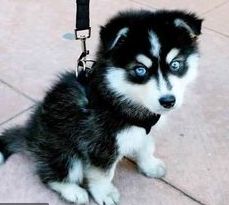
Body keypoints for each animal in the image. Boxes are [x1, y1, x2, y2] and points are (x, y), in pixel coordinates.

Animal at [0, 10, 203, 205]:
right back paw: (73, 191)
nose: (168, 101)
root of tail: (29, 136)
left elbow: (145, 146)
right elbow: (102, 174)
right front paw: (104, 193)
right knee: (51, 174)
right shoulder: (98, 142)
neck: (120, 97)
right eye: (140, 69)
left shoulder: (144, 131)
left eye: (175, 64)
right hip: (62, 150)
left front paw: (150, 165)